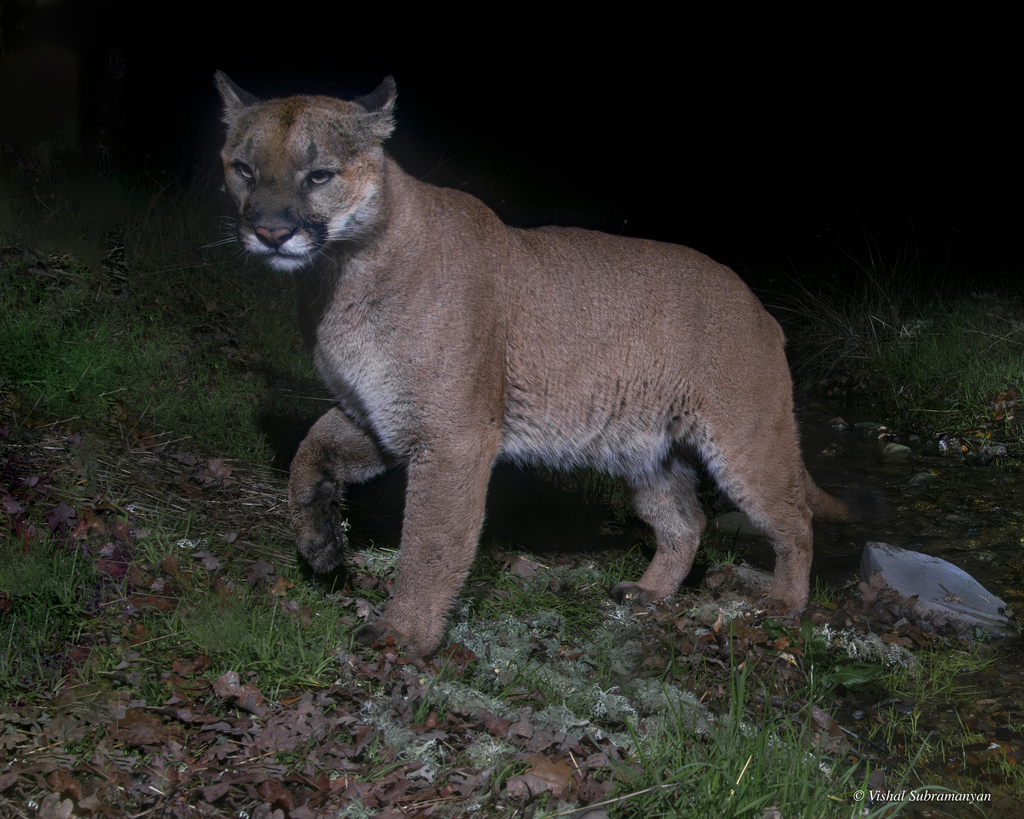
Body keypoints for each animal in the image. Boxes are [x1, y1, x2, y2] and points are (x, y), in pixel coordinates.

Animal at [214, 73, 847, 655]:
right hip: (644, 450)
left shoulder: (454, 433)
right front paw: (320, 546)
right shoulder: (378, 413)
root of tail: (760, 309)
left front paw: (404, 634)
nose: (270, 231)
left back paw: (784, 603)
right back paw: (647, 593)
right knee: (685, 521)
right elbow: (309, 452)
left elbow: (430, 541)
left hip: (744, 439)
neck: (340, 273)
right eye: (243, 169)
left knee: (794, 519)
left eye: (319, 175)